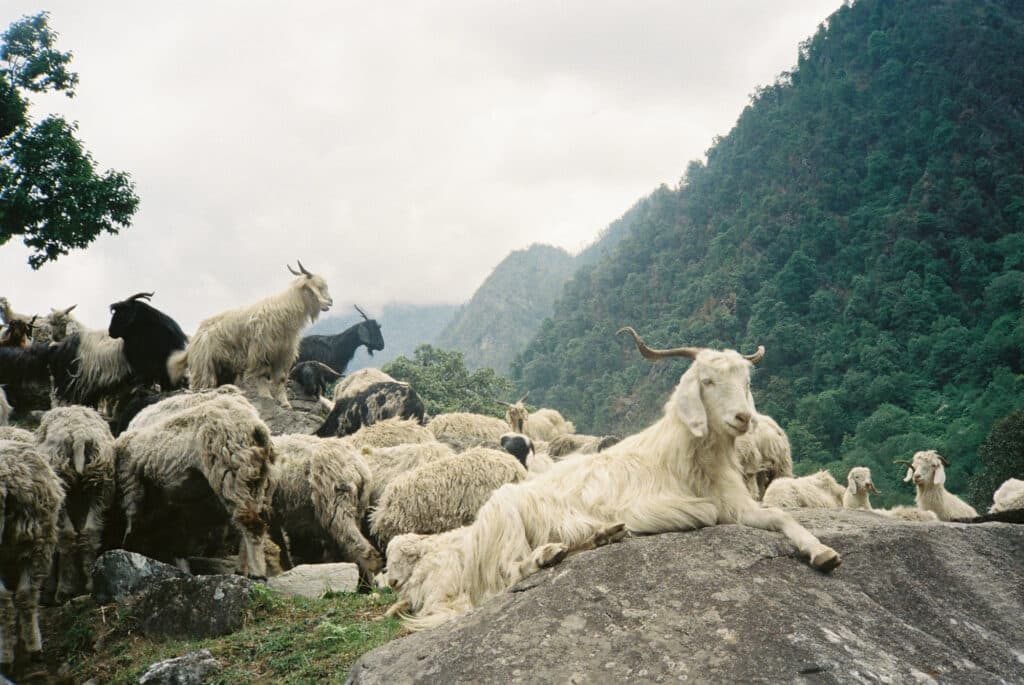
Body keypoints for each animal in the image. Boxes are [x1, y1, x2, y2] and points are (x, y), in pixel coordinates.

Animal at [114, 389, 276, 577]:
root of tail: (256, 427)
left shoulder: (133, 484)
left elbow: (134, 522)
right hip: (258, 481)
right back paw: (241, 569)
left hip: (231, 472)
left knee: (251, 524)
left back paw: (257, 573)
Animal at [168, 259, 331, 403]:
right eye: (316, 287)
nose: (330, 302)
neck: (282, 312)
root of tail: (194, 338)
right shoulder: (260, 351)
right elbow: (262, 375)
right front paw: (266, 396)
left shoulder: (282, 354)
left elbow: (280, 379)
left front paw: (285, 403)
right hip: (204, 365)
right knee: (202, 384)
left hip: (224, 368)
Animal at [387, 327, 843, 626]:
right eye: (707, 380)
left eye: (745, 381)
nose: (744, 418)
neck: (685, 454)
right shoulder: (674, 504)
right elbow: (720, 513)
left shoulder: (740, 501)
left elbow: (782, 516)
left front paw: (822, 552)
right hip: (506, 520)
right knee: (510, 571)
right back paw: (550, 553)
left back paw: (600, 536)